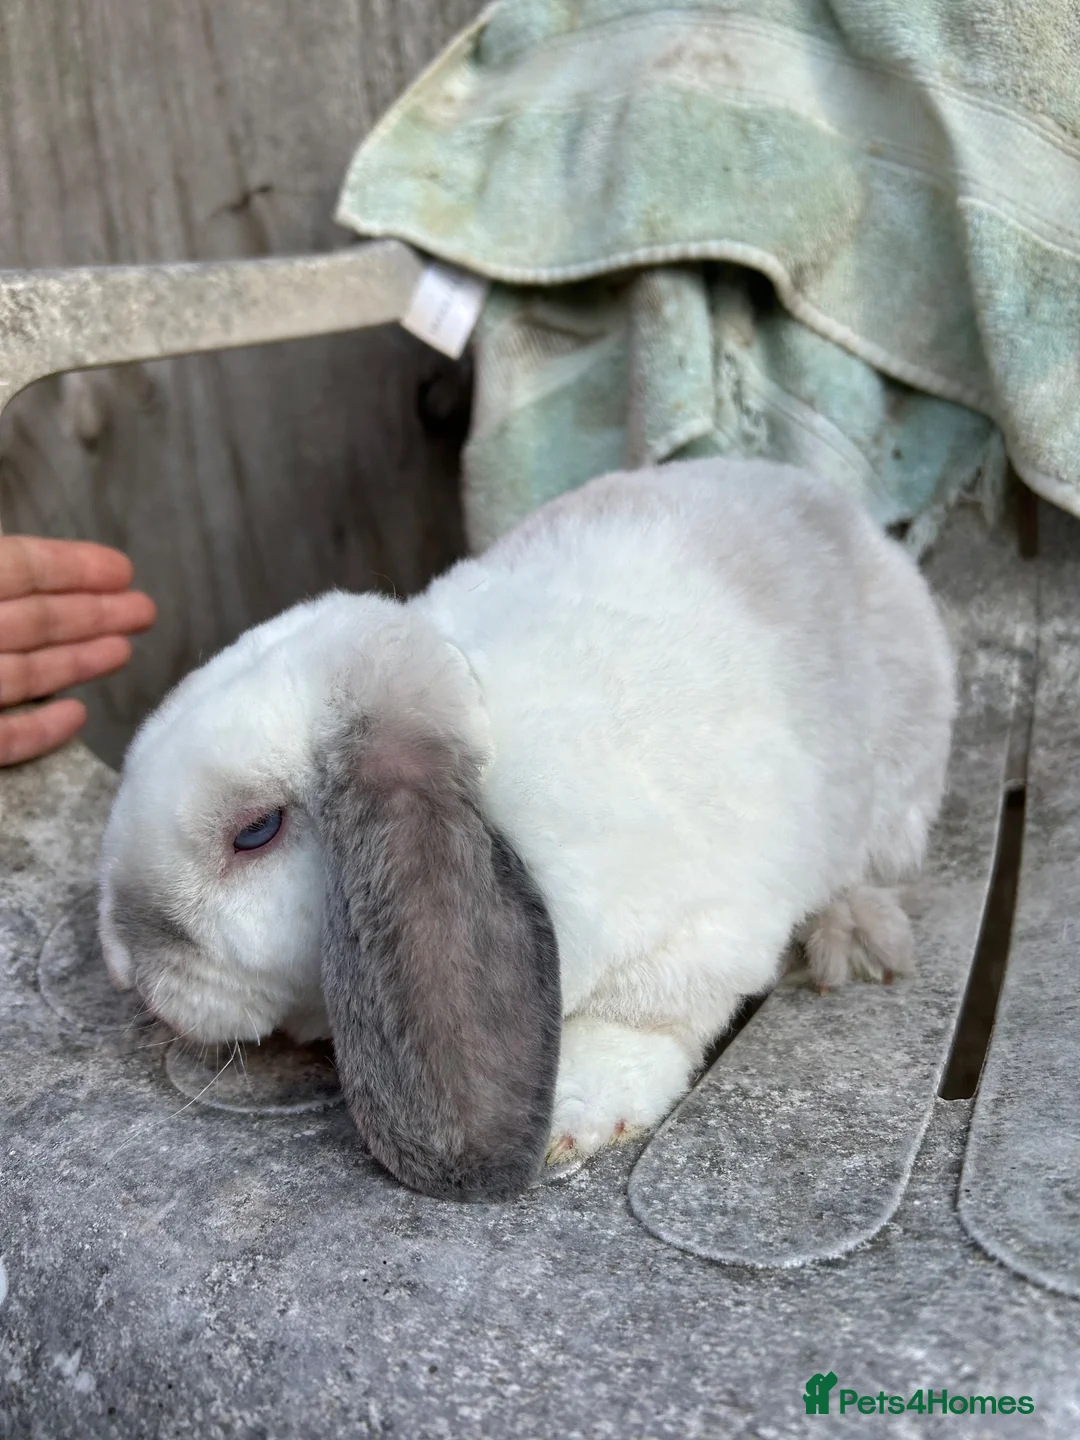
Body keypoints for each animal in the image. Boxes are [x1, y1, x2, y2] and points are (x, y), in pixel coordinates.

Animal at [98, 457, 955, 1201]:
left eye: (255, 832)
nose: (123, 966)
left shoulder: (704, 929)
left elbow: (645, 1015)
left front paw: (574, 1117)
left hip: (896, 794)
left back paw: (852, 934)